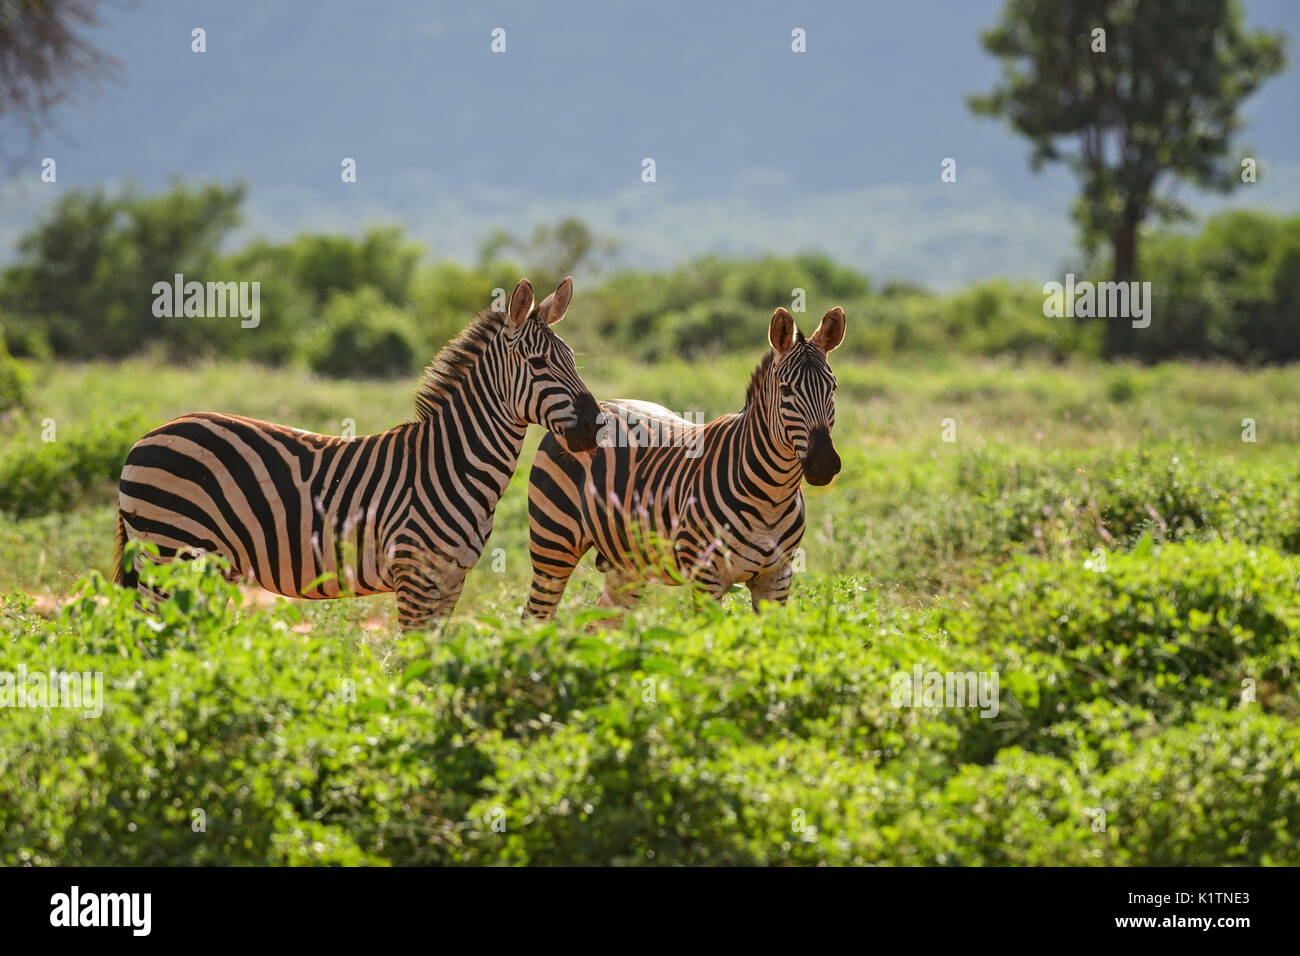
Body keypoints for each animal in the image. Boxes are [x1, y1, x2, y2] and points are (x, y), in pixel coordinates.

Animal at [114, 277, 600, 632]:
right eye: (538, 364)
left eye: (574, 358)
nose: (595, 425)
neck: (453, 463)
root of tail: (145, 438)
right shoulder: (414, 575)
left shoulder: (451, 579)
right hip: (168, 553)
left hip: (198, 565)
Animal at [525, 306, 842, 621]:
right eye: (786, 390)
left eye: (834, 388)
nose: (824, 463)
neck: (772, 497)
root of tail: (600, 404)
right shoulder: (706, 576)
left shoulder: (777, 579)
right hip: (553, 543)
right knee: (535, 616)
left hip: (627, 562)